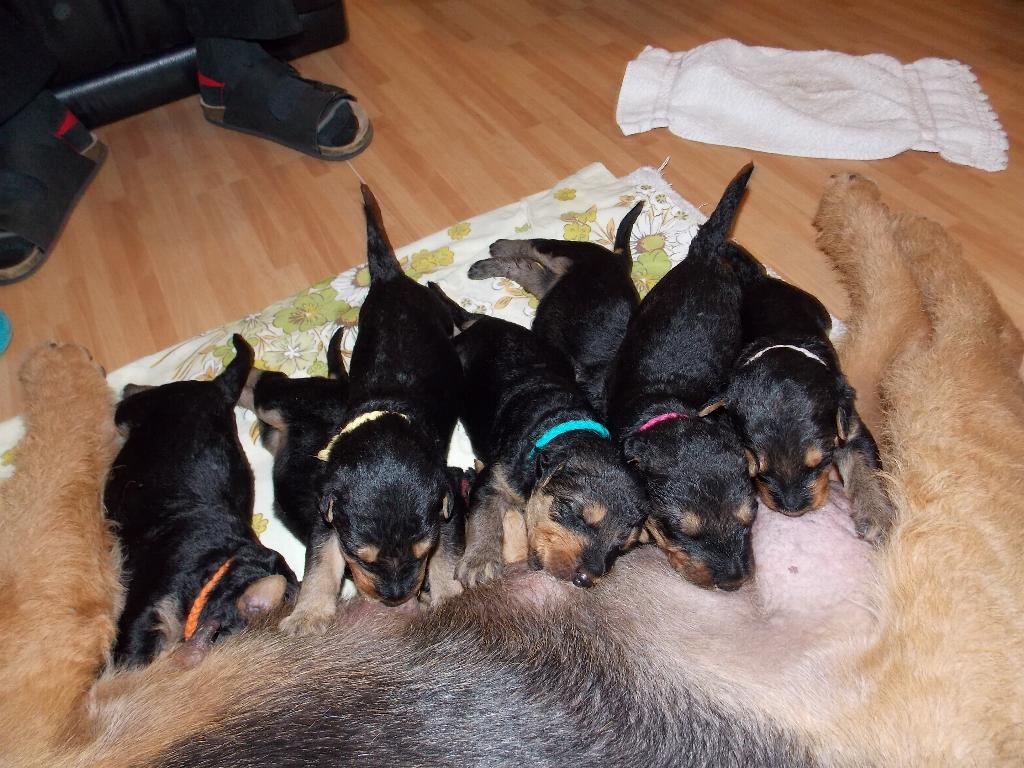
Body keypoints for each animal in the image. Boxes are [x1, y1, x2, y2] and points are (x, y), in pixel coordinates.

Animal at [104, 334, 297, 666]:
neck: (216, 571)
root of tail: (217, 389)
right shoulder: (146, 611)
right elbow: (133, 659)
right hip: (146, 407)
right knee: (132, 396)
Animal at [281, 185, 465, 635]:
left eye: (422, 552)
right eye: (360, 557)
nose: (396, 598)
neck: (385, 418)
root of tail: (389, 278)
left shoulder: (448, 495)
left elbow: (449, 556)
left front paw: (447, 595)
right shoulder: (326, 512)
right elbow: (318, 565)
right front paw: (308, 615)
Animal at [429, 282, 647, 589]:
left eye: (622, 546)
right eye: (575, 514)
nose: (586, 579)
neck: (562, 423)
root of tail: (481, 321)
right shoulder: (495, 479)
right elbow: (484, 517)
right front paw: (480, 563)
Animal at [467, 201, 644, 414]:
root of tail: (619, 261)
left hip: (548, 286)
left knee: (524, 269)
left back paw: (485, 266)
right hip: (571, 252)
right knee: (535, 245)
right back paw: (498, 247)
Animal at [719, 242, 894, 541]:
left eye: (821, 462)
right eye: (757, 471)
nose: (792, 509)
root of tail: (758, 279)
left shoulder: (850, 427)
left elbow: (865, 467)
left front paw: (877, 518)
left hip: (814, 305)